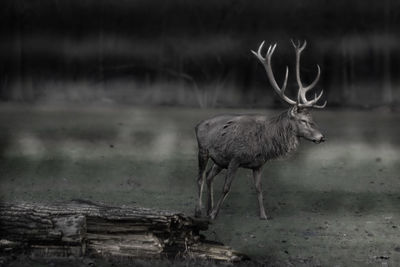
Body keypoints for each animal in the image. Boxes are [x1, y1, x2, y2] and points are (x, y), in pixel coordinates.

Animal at [195, 40, 328, 221]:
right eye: (303, 120)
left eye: (312, 119)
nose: (321, 137)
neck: (264, 143)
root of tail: (198, 125)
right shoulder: (235, 158)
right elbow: (226, 188)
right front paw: (215, 214)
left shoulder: (258, 164)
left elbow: (259, 189)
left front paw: (264, 215)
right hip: (203, 150)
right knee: (200, 178)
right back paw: (199, 211)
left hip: (220, 160)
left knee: (209, 176)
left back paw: (208, 209)